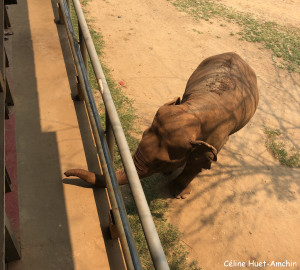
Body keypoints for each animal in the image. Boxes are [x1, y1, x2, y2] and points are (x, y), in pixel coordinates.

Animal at [64, 52, 258, 198]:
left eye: (159, 163)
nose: (65, 174)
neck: (194, 111)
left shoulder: (216, 137)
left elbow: (197, 163)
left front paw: (179, 194)